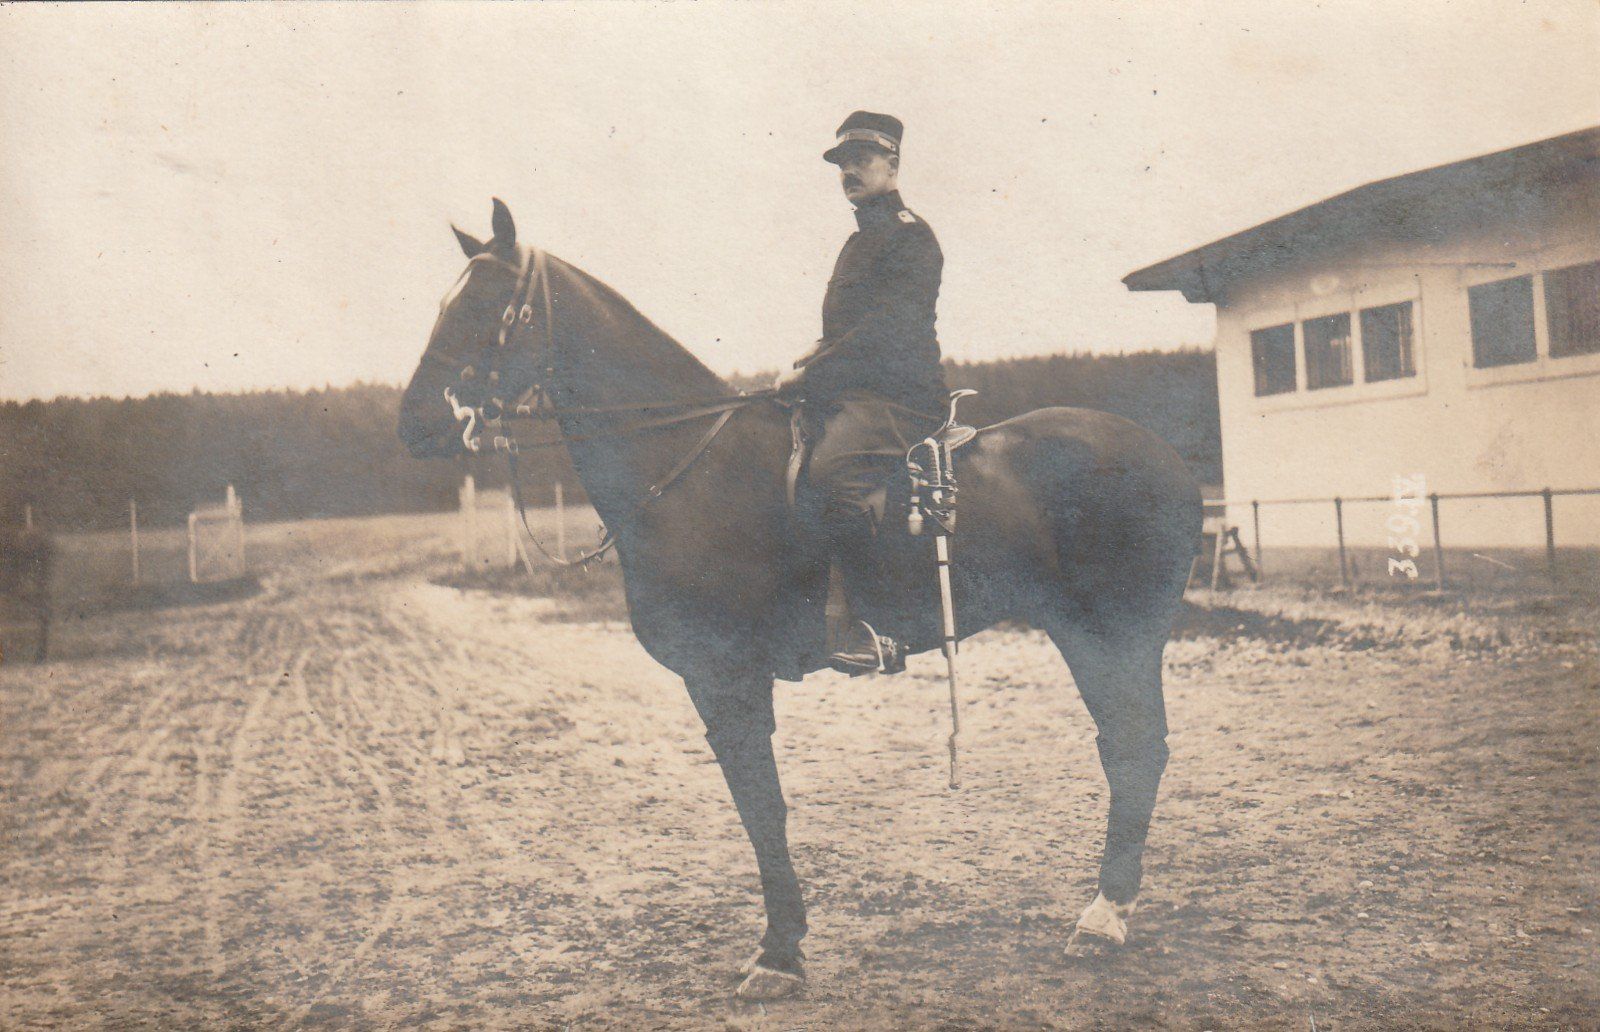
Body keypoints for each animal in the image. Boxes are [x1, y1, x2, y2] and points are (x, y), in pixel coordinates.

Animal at [399, 199, 1202, 999]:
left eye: (489, 305)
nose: (416, 425)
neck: (690, 464)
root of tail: (1166, 454)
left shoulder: (725, 677)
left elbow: (762, 808)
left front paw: (779, 952)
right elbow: (760, 807)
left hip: (1116, 632)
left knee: (1137, 749)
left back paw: (1102, 917)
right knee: (1128, 748)